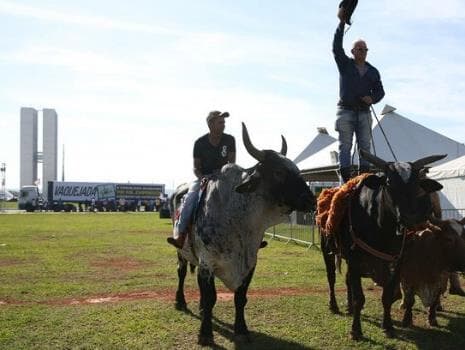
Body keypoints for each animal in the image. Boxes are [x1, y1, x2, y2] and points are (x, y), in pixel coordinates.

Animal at [169, 122, 314, 344]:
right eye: (279, 172)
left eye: (297, 170)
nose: (311, 200)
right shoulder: (206, 263)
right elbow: (211, 298)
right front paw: (205, 334)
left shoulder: (250, 263)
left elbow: (240, 297)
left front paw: (241, 329)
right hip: (181, 251)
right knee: (181, 272)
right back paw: (180, 301)